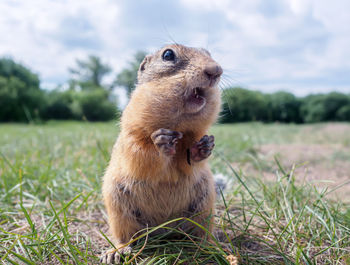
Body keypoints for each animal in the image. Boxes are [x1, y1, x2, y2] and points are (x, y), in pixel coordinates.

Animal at [100, 43, 223, 262]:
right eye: (168, 54)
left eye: (208, 53)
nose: (216, 70)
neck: (178, 126)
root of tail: (163, 230)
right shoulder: (131, 136)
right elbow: (141, 154)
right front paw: (161, 142)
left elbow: (188, 162)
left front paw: (204, 146)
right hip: (118, 208)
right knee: (126, 235)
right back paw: (116, 251)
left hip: (204, 206)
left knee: (200, 232)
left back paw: (209, 245)